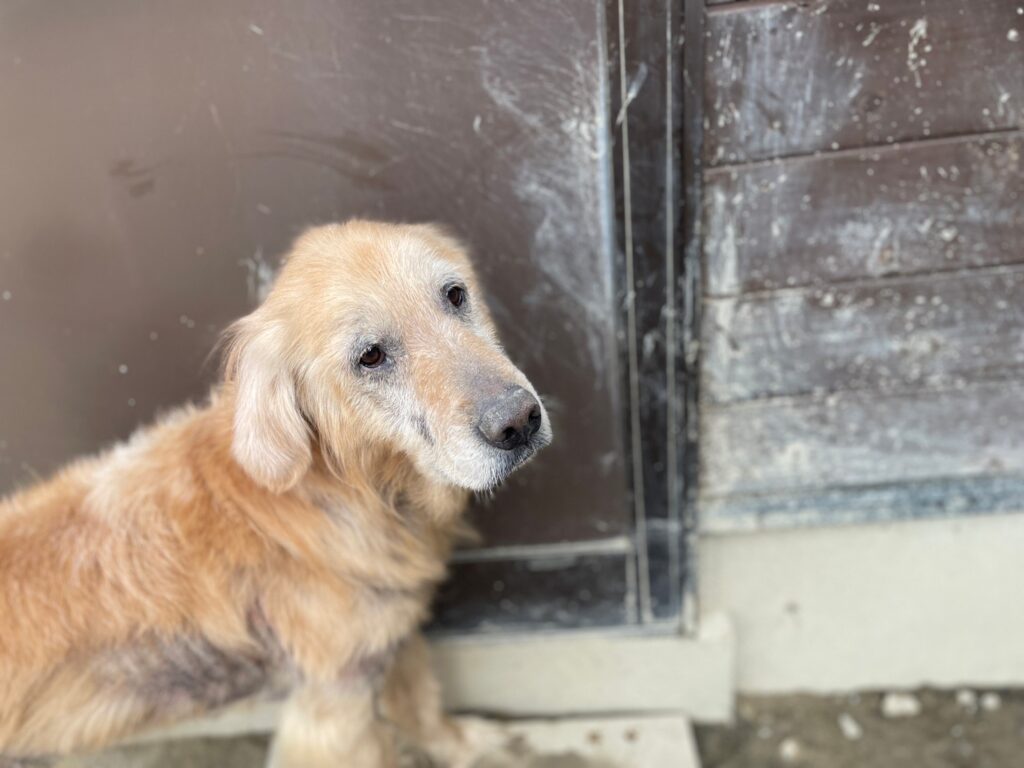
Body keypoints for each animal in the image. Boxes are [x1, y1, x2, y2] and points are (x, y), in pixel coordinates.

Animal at [0, 220, 551, 767]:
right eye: (370, 356)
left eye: (455, 295)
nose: (519, 421)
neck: (356, 494)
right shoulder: (334, 707)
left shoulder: (387, 638)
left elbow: (422, 704)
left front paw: (467, 746)